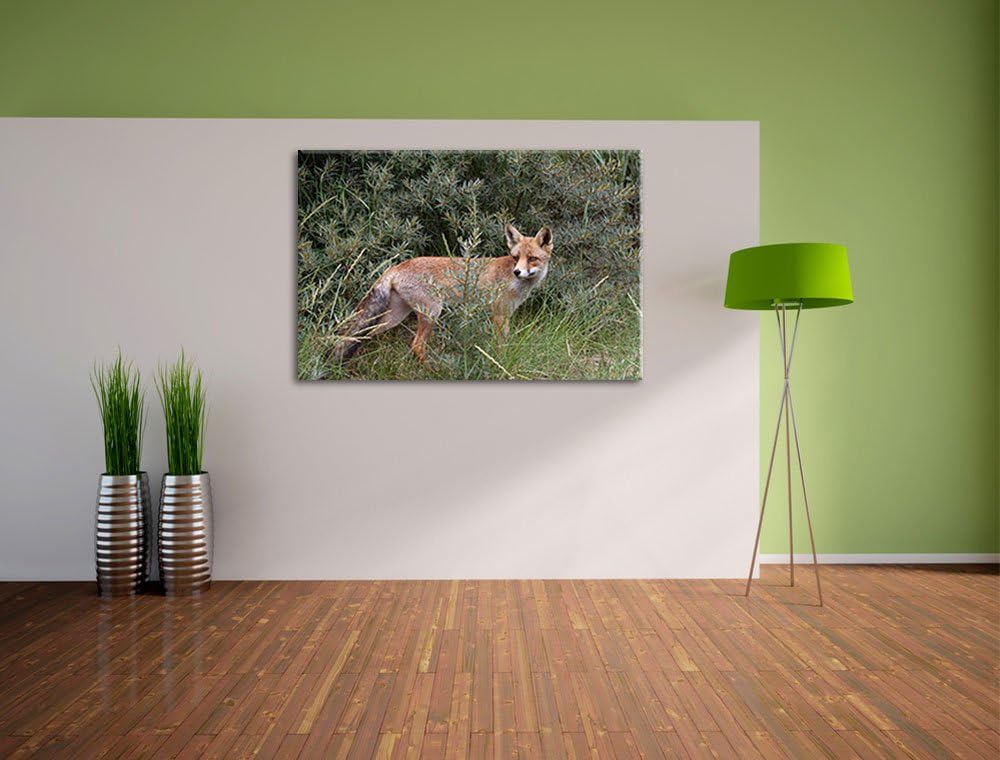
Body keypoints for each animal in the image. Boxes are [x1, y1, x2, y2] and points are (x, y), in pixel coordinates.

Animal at [331, 223, 553, 364]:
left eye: (532, 258)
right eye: (516, 257)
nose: (517, 271)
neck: (513, 282)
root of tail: (397, 266)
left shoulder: (504, 315)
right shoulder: (499, 315)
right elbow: (501, 346)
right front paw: (501, 362)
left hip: (395, 317)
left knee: (359, 335)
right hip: (432, 313)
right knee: (416, 346)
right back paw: (432, 370)